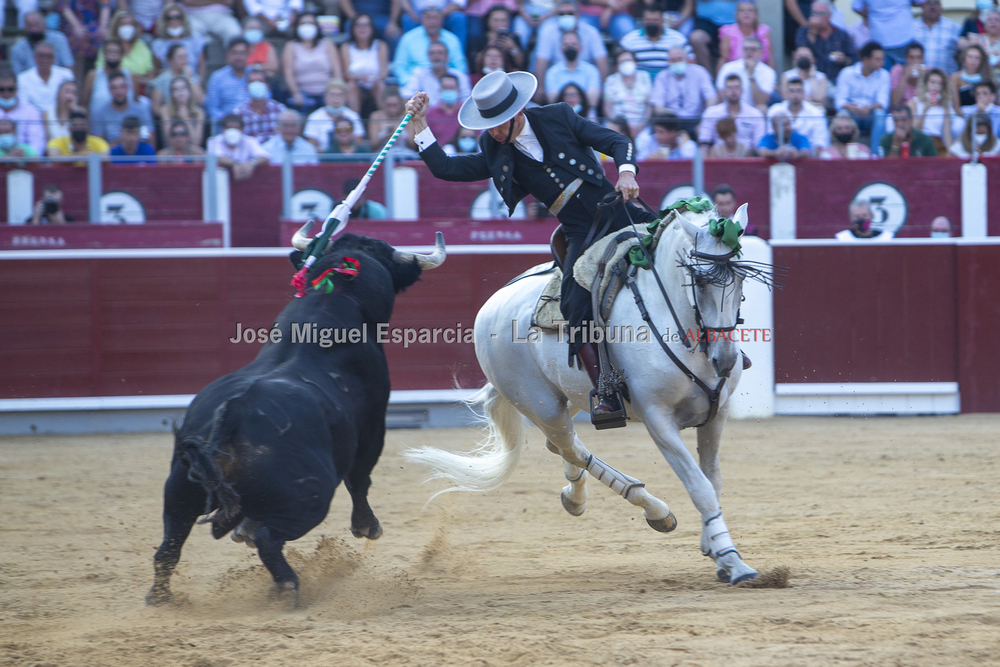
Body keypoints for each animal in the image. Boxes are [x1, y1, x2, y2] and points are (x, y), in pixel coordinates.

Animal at [146, 235, 444, 604]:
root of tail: (232, 413)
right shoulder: (374, 426)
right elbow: (360, 478)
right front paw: (367, 526)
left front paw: (241, 530)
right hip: (312, 498)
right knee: (269, 538)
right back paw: (287, 586)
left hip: (178, 490)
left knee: (168, 548)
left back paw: (161, 597)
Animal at [402, 204, 768, 584]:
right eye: (700, 279)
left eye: (741, 278)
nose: (725, 360)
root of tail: (494, 302)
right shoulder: (659, 421)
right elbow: (700, 487)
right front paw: (733, 561)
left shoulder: (716, 413)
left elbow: (713, 480)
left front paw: (714, 548)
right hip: (541, 404)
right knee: (570, 446)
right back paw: (647, 508)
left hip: (564, 399)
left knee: (563, 447)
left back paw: (589, 498)